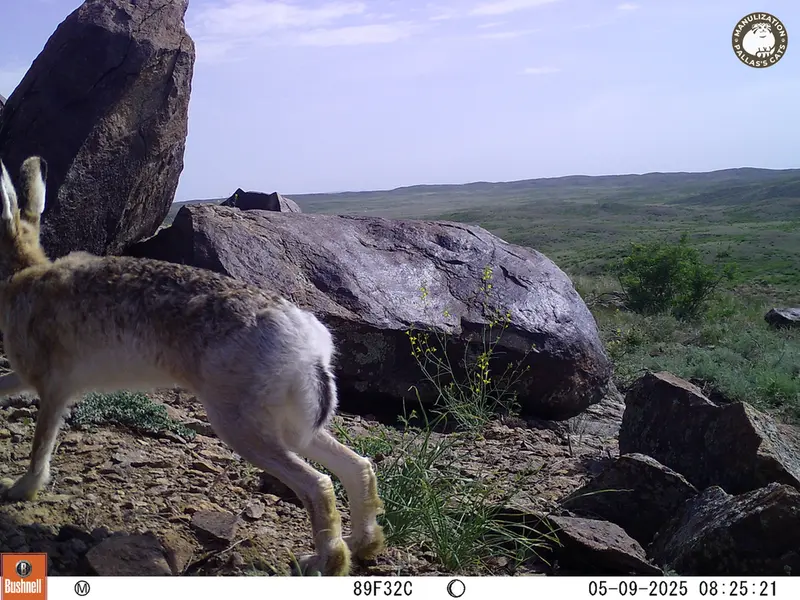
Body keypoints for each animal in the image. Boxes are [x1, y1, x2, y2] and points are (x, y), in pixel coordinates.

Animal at [0, 156, 385, 576]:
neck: (21, 275)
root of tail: (311, 344)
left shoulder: (53, 385)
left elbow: (41, 443)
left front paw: (21, 490)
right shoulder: (30, 377)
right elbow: (4, 386)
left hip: (239, 421)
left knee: (319, 485)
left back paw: (323, 562)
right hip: (284, 420)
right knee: (356, 466)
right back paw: (364, 544)